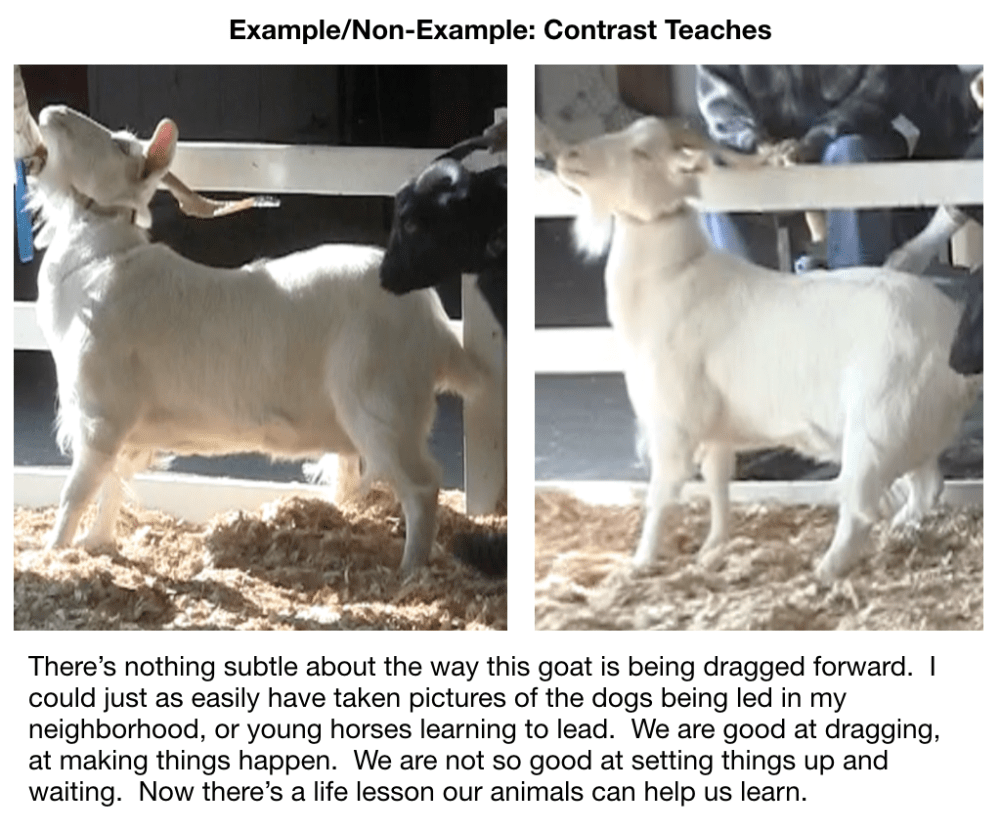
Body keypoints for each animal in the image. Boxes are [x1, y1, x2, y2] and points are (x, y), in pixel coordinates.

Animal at [14, 66, 485, 577]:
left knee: (421, 485)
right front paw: (96, 544)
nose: (53, 111)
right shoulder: (124, 431)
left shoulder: (102, 414)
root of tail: (435, 327)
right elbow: (113, 486)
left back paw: (409, 571)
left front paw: (53, 551)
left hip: (384, 405)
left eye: (120, 146)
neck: (102, 259)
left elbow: (77, 492)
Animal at [555, 116, 980, 585]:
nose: (567, 156)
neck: (676, 277)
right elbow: (718, 486)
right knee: (926, 488)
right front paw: (712, 549)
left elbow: (662, 495)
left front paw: (640, 562)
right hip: (913, 431)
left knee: (862, 509)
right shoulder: (717, 431)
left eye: (643, 152)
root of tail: (951, 333)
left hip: (878, 430)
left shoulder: (675, 423)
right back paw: (900, 530)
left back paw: (825, 570)